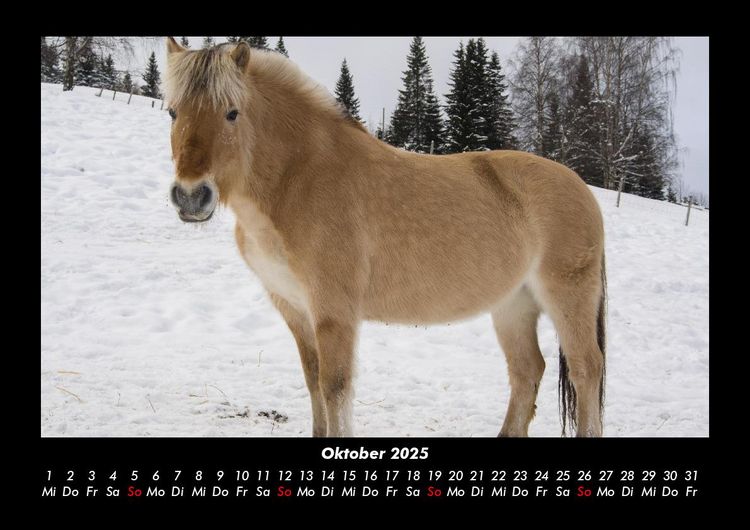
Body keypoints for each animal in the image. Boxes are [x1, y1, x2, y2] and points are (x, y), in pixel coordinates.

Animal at [163, 37, 607, 437]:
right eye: (172, 112)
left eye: (232, 113)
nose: (191, 196)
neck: (301, 179)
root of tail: (580, 187)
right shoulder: (295, 309)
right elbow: (313, 383)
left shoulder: (334, 313)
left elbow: (335, 389)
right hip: (513, 304)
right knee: (526, 371)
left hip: (567, 298)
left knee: (587, 368)